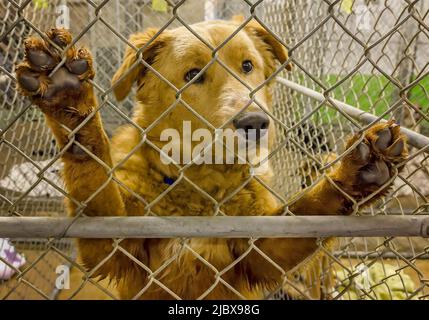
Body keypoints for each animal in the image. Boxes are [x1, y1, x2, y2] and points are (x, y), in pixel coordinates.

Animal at [15, 19, 406, 300]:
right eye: (193, 75)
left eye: (247, 66)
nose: (255, 123)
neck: (198, 188)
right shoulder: (111, 244)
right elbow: (94, 172)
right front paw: (69, 97)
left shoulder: (260, 251)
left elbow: (309, 211)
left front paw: (356, 174)